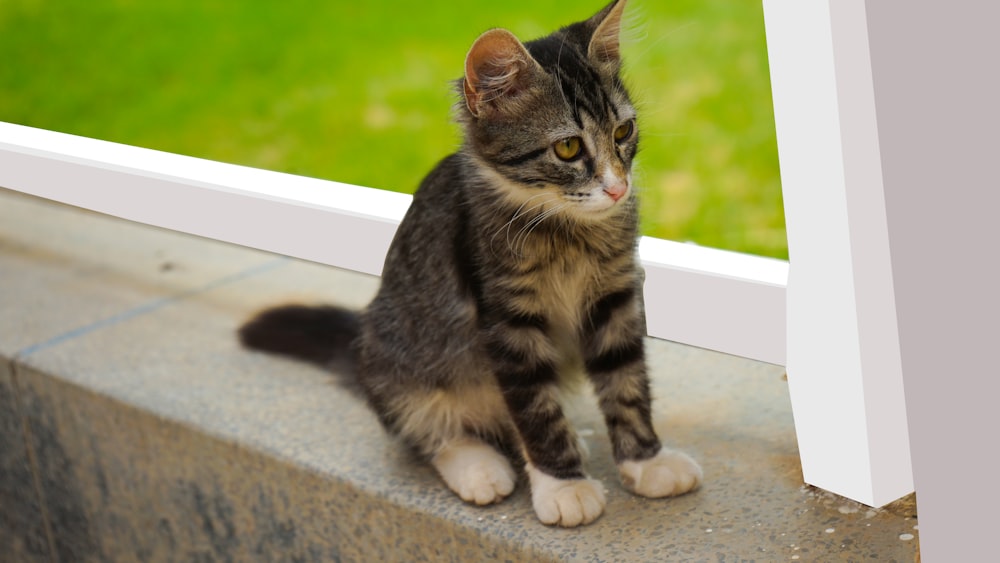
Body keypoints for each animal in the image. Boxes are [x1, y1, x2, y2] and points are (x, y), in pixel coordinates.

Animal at [237, 1, 700, 528]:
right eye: (568, 148)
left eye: (623, 132)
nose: (619, 188)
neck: (567, 232)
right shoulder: (506, 321)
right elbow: (535, 411)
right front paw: (563, 486)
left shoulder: (615, 298)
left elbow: (626, 385)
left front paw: (647, 462)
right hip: (402, 362)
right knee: (433, 433)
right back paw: (481, 468)